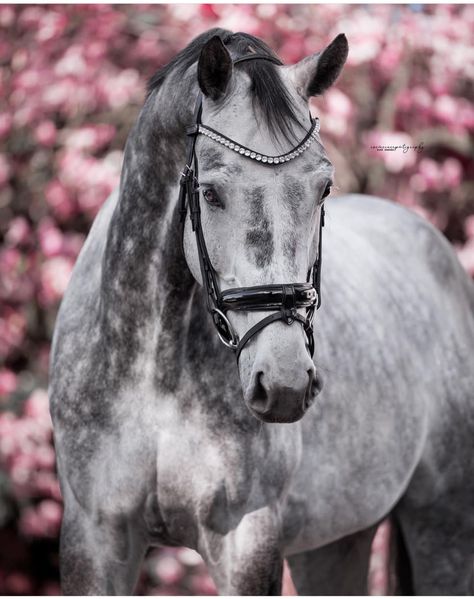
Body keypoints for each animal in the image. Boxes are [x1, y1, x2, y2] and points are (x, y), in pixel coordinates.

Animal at [49, 29, 474, 596]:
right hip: (336, 544)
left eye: (323, 187)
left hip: (443, 527)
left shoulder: (245, 539)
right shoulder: (94, 538)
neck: (152, 372)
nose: (286, 383)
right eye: (210, 192)